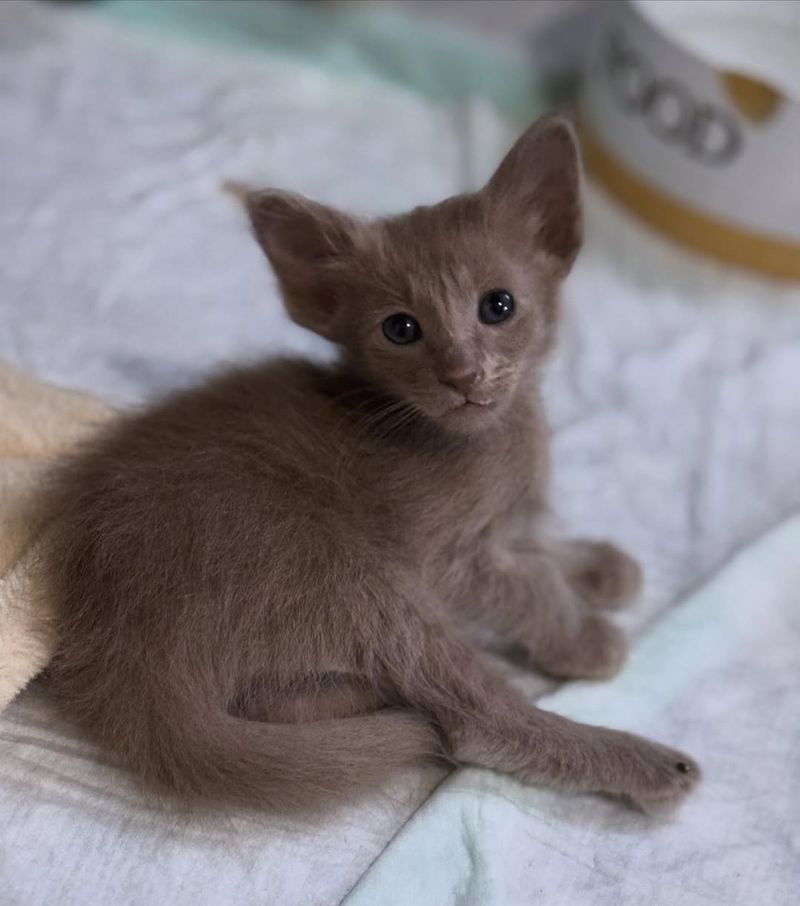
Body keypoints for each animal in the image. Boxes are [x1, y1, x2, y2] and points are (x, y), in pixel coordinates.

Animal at [42, 113, 700, 812]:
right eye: (401, 329)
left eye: (498, 305)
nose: (462, 374)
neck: (485, 438)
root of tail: (122, 661)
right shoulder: (445, 567)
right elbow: (530, 584)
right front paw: (580, 635)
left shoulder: (504, 524)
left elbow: (534, 547)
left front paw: (600, 566)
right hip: (352, 574)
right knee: (474, 722)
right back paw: (650, 765)